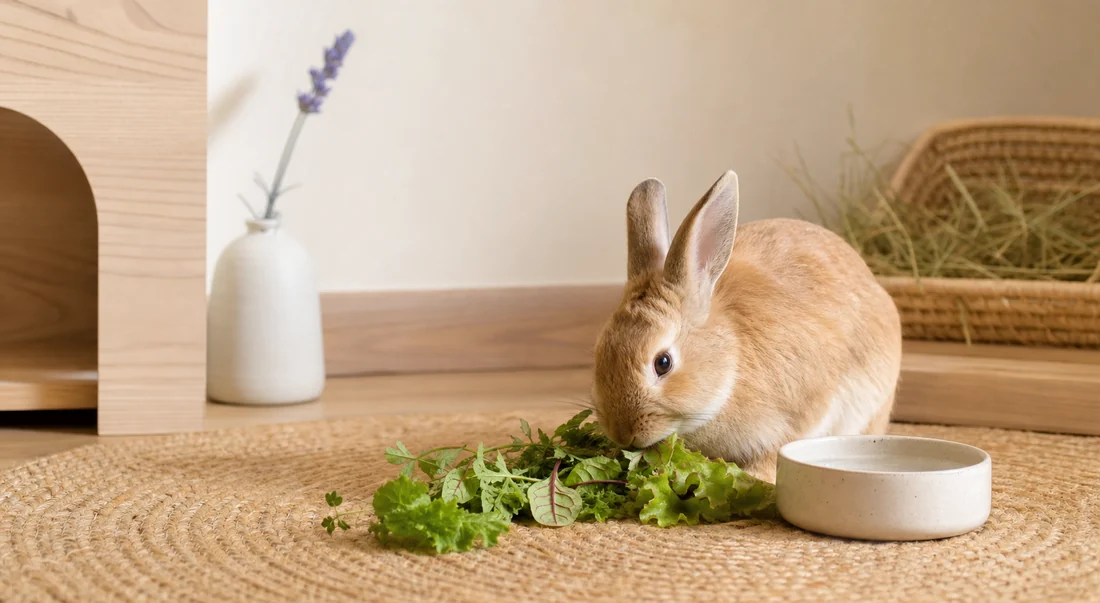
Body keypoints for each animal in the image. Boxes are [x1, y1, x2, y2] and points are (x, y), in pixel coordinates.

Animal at [591, 170, 903, 483]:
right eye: (599, 353)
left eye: (663, 363)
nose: (623, 434)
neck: (731, 365)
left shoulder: (800, 412)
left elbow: (775, 452)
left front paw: (753, 476)